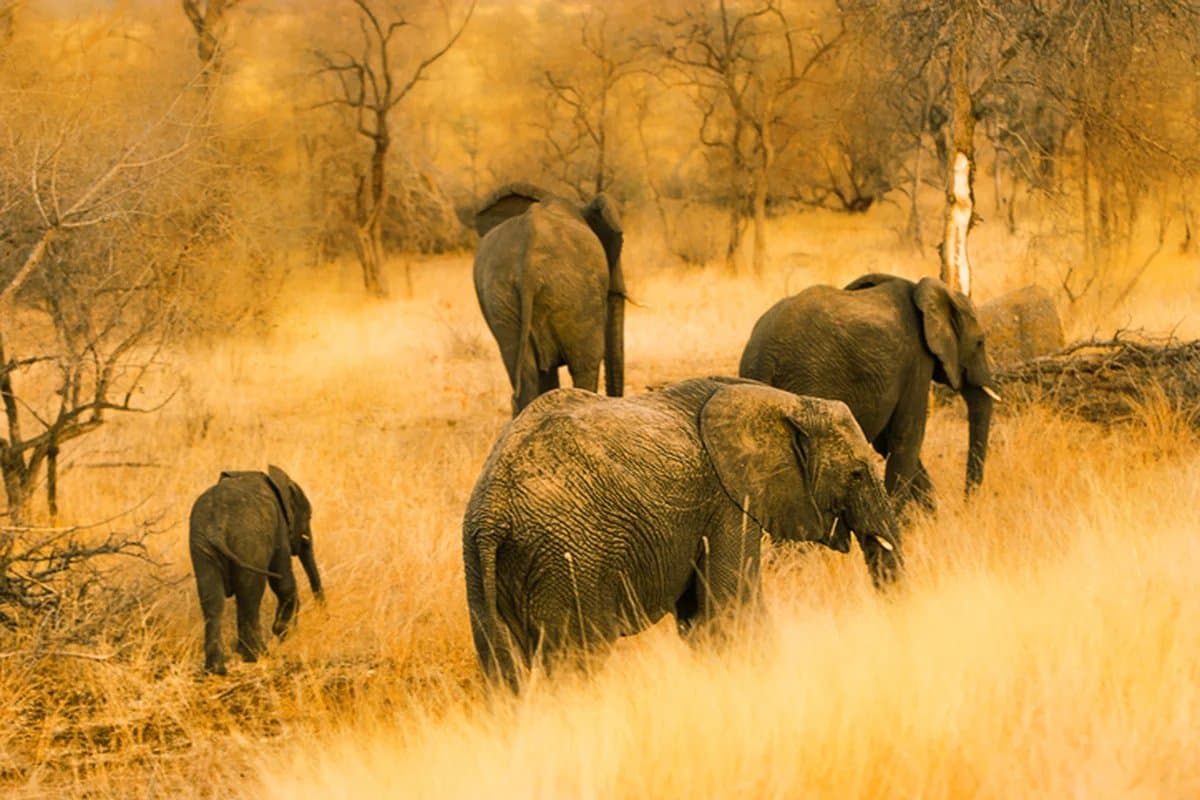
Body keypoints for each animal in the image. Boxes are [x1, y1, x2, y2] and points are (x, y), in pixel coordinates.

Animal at [188, 465, 323, 675]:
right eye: (308, 516)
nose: (325, 616)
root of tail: (216, 527)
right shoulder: (279, 527)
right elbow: (282, 579)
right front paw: (282, 631)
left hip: (202, 546)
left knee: (212, 600)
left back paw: (216, 668)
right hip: (248, 542)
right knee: (250, 594)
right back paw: (257, 656)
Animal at [462, 377, 903, 691]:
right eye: (857, 473)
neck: (787, 401)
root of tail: (492, 512)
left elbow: (699, 621)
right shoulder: (727, 501)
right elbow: (730, 609)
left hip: (483, 569)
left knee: (504, 672)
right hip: (570, 561)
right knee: (577, 664)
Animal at [739, 273, 1001, 510]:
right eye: (980, 342)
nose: (966, 506)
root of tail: (765, 356)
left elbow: (886, 442)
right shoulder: (916, 358)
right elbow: (906, 436)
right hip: (808, 384)